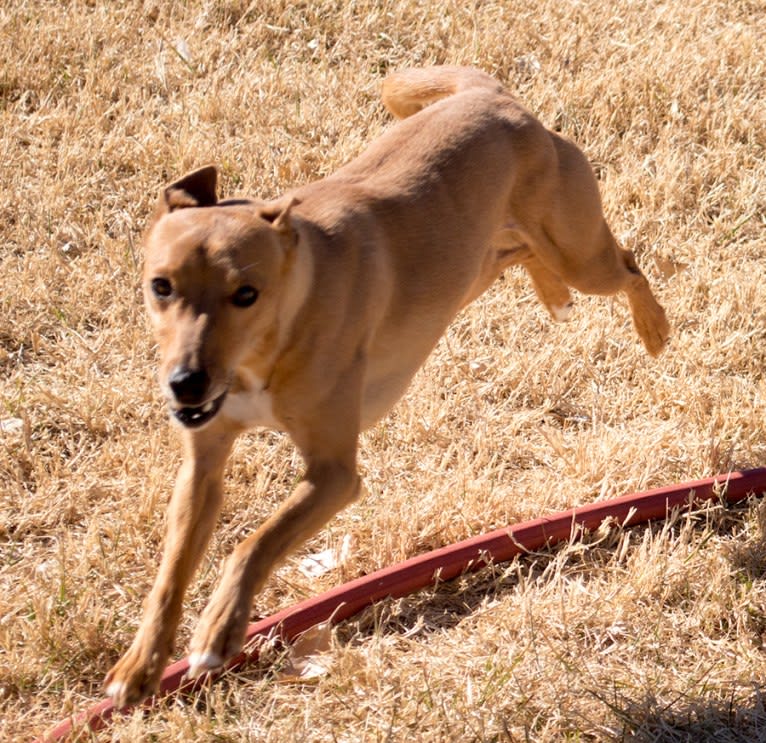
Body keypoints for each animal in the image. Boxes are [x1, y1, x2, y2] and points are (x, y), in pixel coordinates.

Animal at [105, 67, 668, 708]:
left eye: (246, 293)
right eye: (161, 286)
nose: (186, 383)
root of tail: (492, 96)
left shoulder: (334, 474)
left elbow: (256, 542)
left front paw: (220, 631)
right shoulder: (204, 463)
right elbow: (172, 569)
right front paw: (140, 666)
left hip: (581, 251)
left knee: (627, 263)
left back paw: (652, 327)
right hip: (481, 259)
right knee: (524, 254)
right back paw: (552, 293)